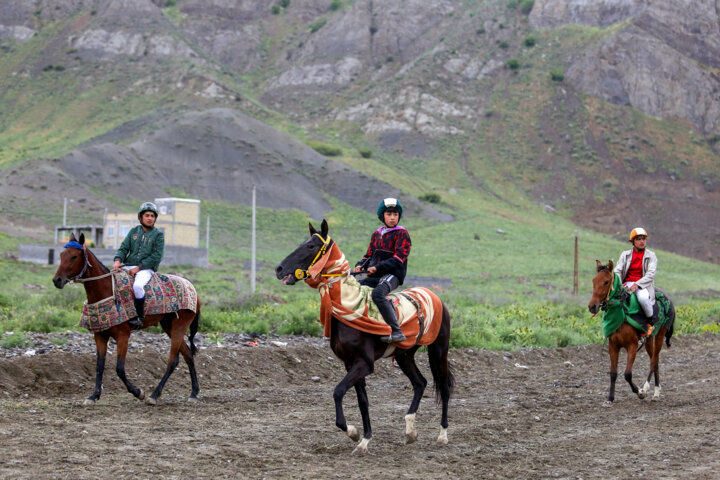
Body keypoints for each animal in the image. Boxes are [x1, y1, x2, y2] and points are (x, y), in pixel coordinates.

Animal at [52, 232, 201, 404]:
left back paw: (154, 395)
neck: (106, 291)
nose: (57, 280)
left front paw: (138, 392)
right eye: (62, 255)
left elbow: (119, 369)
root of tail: (193, 290)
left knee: (173, 360)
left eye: (74, 256)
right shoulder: (100, 335)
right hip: (168, 326)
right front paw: (94, 395)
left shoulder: (123, 336)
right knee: (187, 355)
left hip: (179, 326)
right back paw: (194, 392)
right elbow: (99, 366)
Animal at [276, 220, 456, 454]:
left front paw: (353, 432)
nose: (279, 269)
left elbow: (338, 391)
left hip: (438, 350)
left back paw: (442, 435)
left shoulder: (364, 364)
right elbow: (363, 401)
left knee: (443, 387)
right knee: (420, 383)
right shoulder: (350, 363)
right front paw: (363, 439)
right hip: (404, 355)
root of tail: (436, 298)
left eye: (310, 246)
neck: (348, 310)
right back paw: (410, 431)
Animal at [592, 260, 676, 404]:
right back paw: (656, 391)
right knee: (655, 360)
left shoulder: (632, 345)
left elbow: (627, 374)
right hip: (649, 339)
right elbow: (613, 373)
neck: (621, 314)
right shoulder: (613, 346)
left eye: (606, 282)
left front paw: (639, 392)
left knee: (654, 360)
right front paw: (610, 398)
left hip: (660, 334)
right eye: (594, 280)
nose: (592, 306)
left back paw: (647, 387)